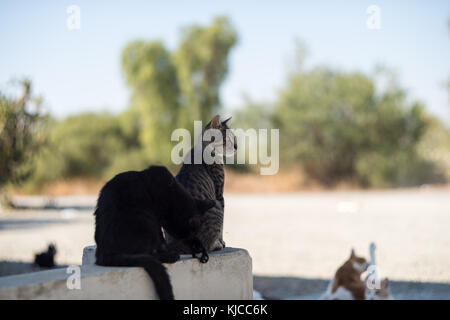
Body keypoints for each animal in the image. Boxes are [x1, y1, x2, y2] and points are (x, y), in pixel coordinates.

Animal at [94, 165, 215, 300]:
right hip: (144, 218)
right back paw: (170, 255)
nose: (193, 241)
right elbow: (161, 239)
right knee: (147, 253)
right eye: (188, 234)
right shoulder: (156, 217)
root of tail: (104, 254)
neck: (172, 195)